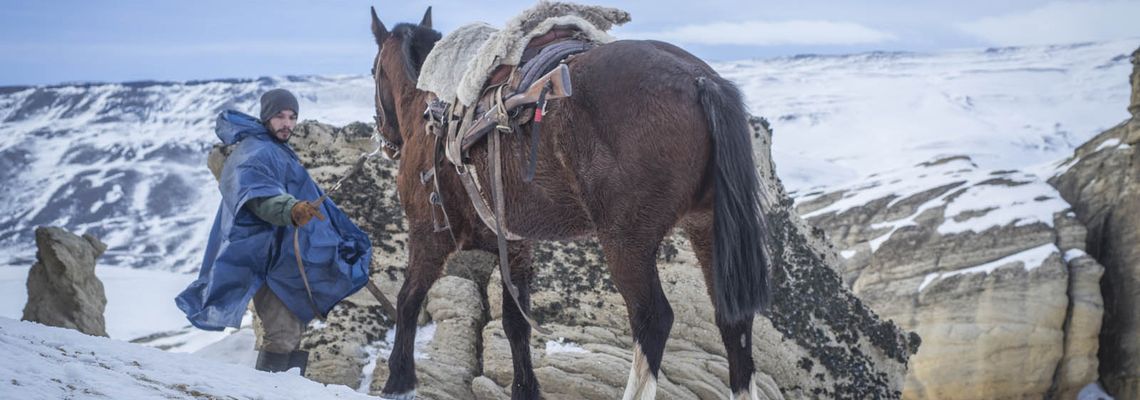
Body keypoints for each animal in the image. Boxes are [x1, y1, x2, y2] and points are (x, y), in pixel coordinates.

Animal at [369, 6, 770, 400]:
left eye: (374, 71)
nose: (386, 139)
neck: (430, 108)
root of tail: (700, 80)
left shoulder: (428, 233)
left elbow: (407, 299)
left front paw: (398, 380)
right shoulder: (516, 245)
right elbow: (515, 322)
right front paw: (525, 389)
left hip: (627, 240)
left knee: (653, 320)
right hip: (707, 227)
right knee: (733, 321)